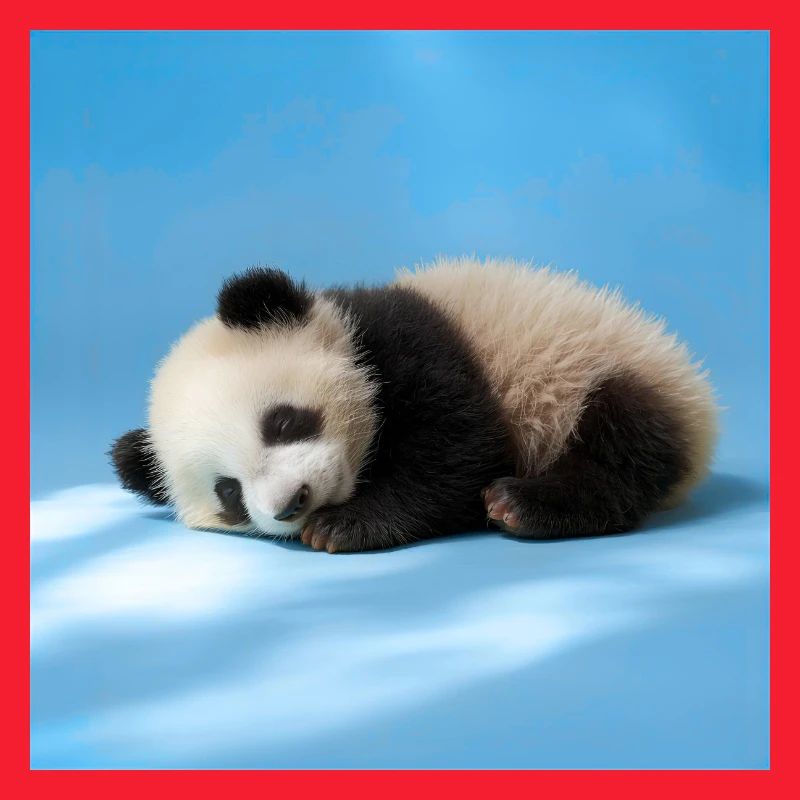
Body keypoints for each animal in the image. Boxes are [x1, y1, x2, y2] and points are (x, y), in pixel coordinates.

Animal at [111, 257, 717, 553]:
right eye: (228, 493)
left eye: (282, 422)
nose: (292, 503)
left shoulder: (412, 340)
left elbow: (459, 446)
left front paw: (343, 526)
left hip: (601, 369)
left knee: (622, 442)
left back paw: (525, 503)